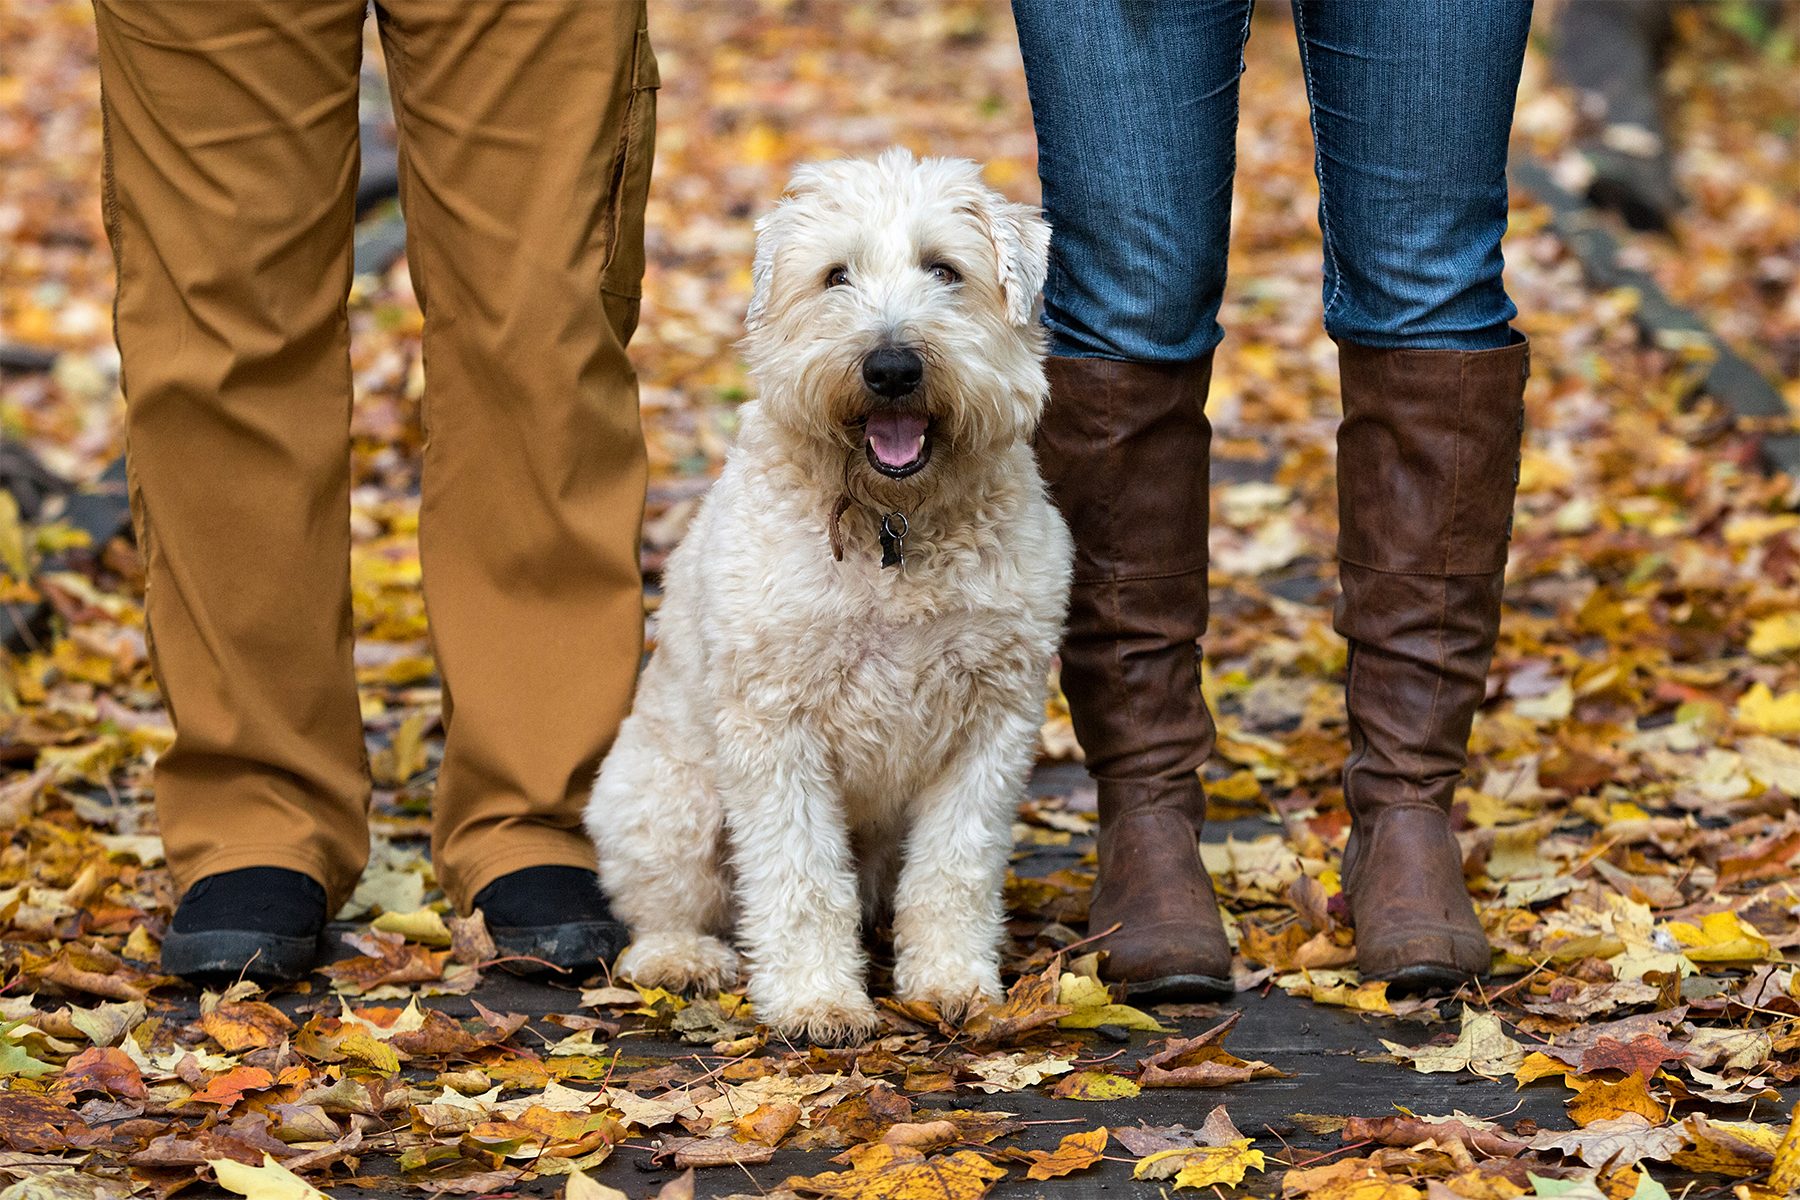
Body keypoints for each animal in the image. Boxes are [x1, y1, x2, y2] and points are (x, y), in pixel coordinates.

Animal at [586, 150, 1065, 1043]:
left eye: (944, 270)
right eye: (835, 275)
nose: (892, 368)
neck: (894, 524)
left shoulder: (990, 728)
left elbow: (953, 871)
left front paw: (950, 982)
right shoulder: (777, 730)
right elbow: (801, 877)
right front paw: (817, 1000)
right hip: (671, 800)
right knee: (661, 905)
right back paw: (682, 959)